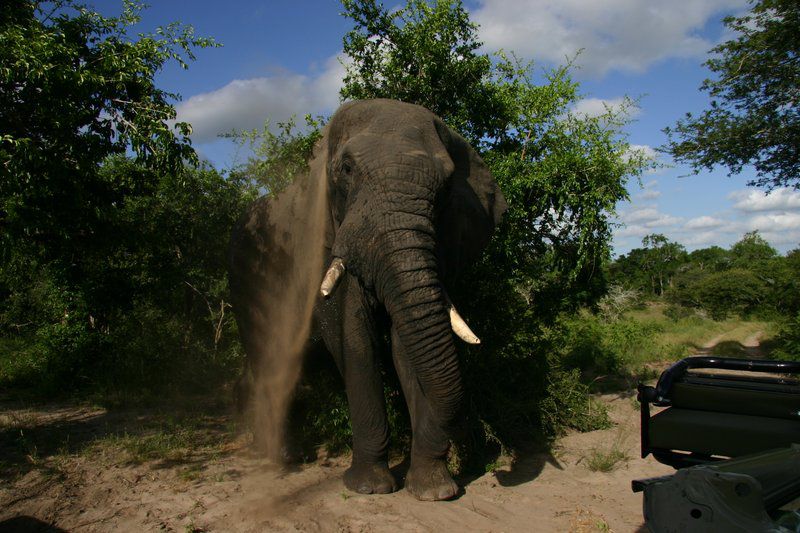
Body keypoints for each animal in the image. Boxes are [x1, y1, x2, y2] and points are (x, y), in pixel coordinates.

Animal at [228, 98, 510, 498]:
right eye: (346, 170)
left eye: (446, 185)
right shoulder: (326, 239)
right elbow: (352, 333)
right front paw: (370, 488)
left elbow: (407, 342)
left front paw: (434, 491)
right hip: (246, 278)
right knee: (268, 353)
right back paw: (279, 456)